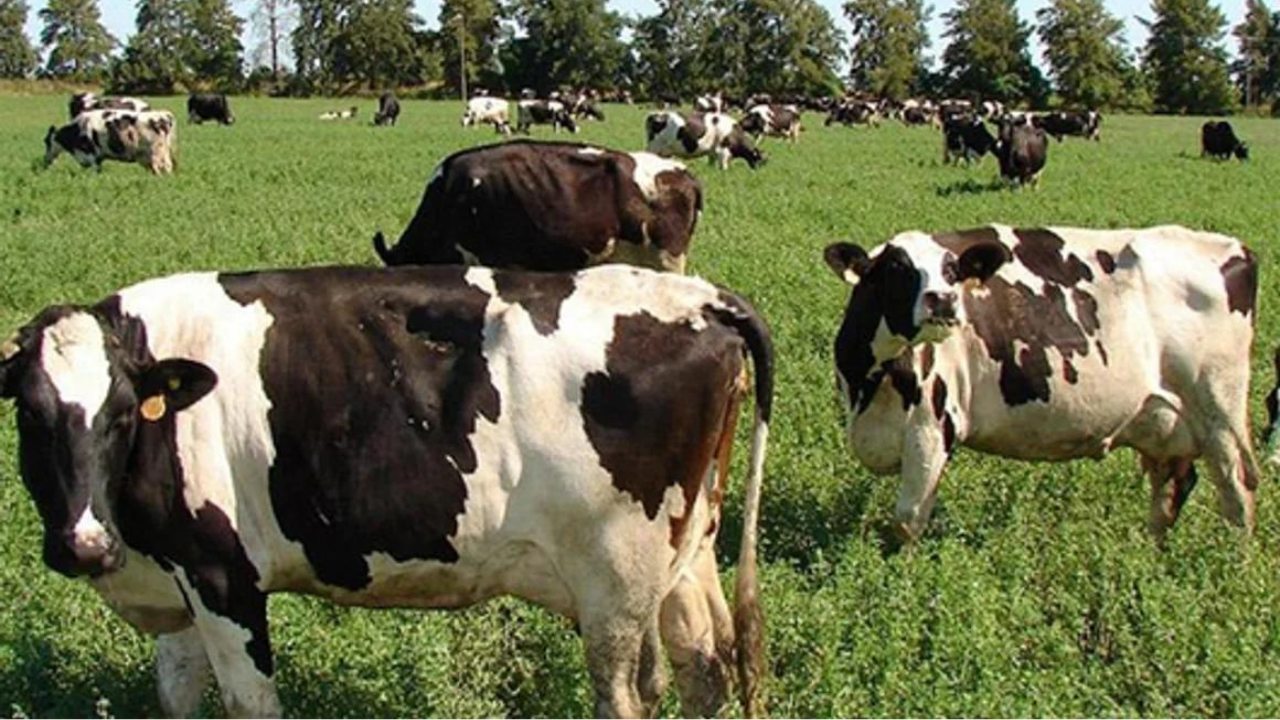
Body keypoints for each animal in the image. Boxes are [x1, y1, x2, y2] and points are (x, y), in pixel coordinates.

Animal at [2, 263, 768, 717]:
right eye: (30, 414)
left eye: (122, 414)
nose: (83, 545)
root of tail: (701, 296)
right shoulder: (178, 573)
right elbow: (177, 693)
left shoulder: (222, 576)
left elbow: (250, 703)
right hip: (685, 553)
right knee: (705, 664)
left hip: (616, 580)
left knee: (627, 696)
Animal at [819, 222, 1259, 538]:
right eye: (897, 267)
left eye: (952, 270)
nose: (943, 300)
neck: (870, 383)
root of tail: (1237, 248)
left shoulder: (931, 428)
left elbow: (907, 520)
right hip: (1165, 423)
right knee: (1170, 491)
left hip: (1220, 411)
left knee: (1238, 492)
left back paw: (1232, 566)